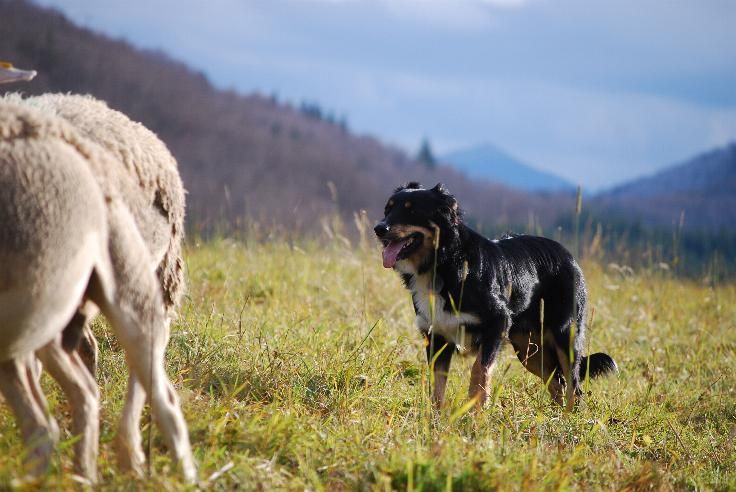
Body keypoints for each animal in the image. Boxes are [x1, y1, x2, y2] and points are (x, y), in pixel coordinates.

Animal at [374, 183, 616, 410]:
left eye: (412, 210)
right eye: (387, 209)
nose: (378, 228)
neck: (444, 263)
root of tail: (567, 254)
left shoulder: (496, 323)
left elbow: (479, 370)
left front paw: (476, 412)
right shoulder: (436, 336)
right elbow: (438, 389)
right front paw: (437, 419)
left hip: (565, 334)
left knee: (574, 386)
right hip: (529, 350)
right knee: (558, 383)